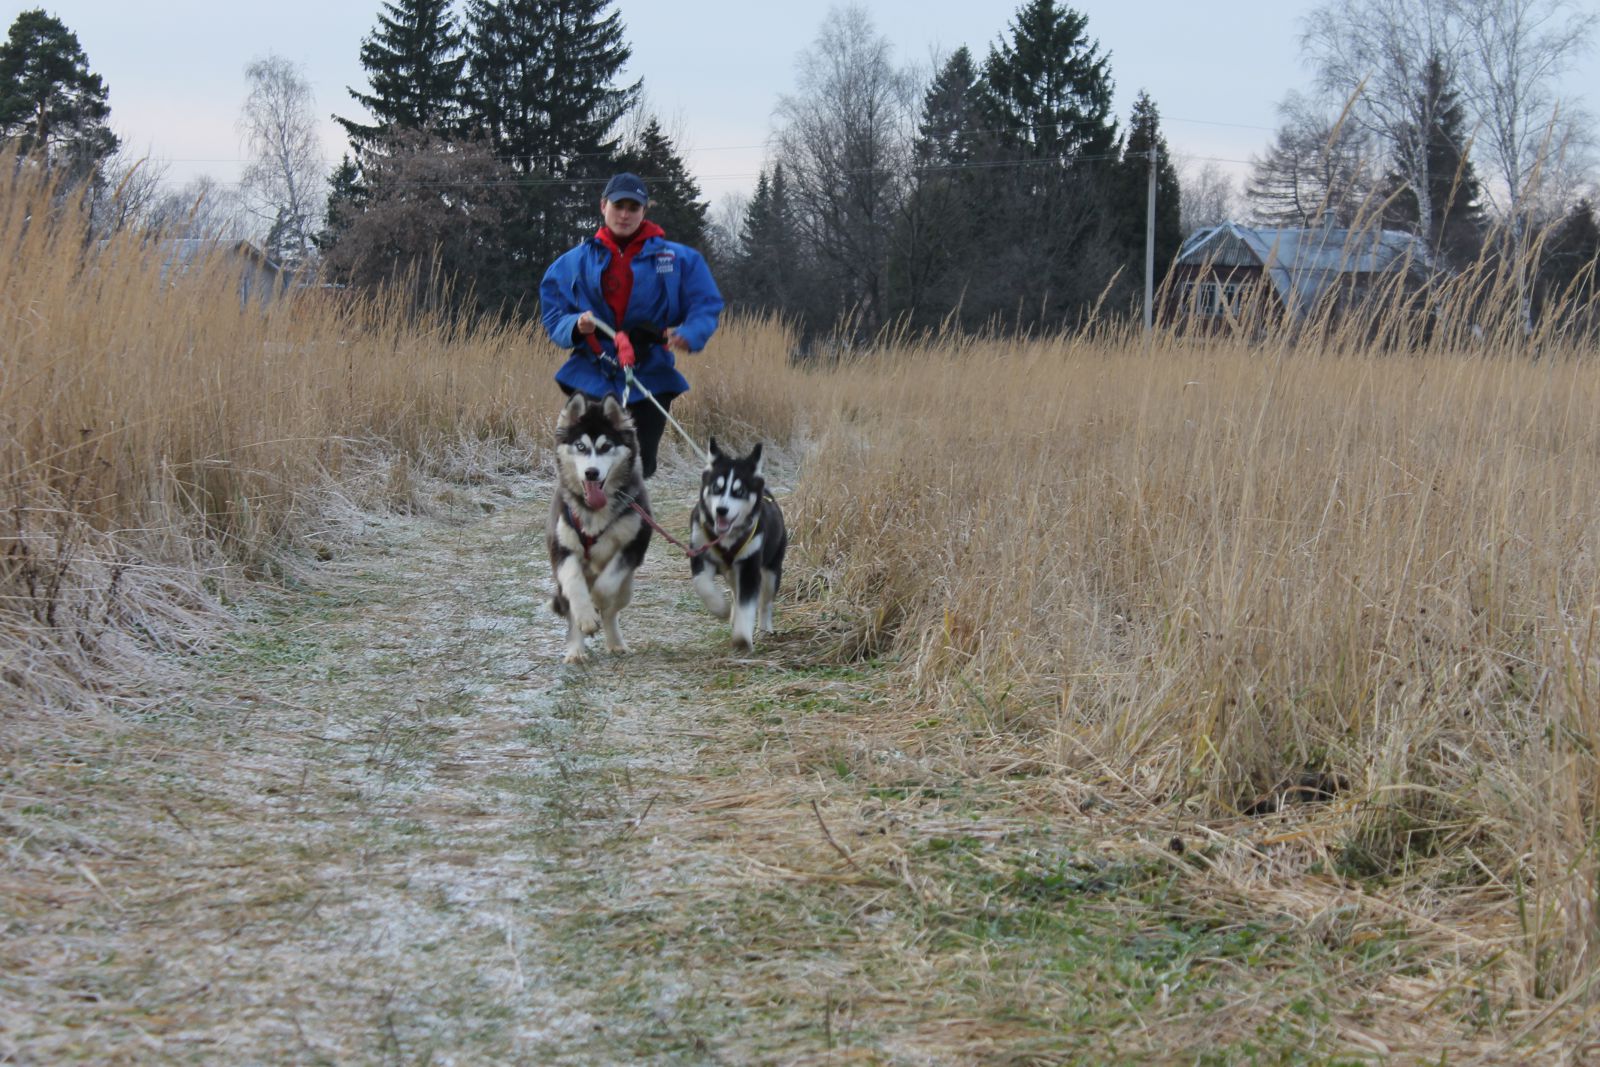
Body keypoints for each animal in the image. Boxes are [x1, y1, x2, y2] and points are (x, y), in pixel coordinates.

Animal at [547, 393, 652, 663]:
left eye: (606, 447)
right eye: (581, 447)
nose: (591, 473)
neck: (593, 512)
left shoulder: (635, 543)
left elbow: (607, 584)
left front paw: (596, 600)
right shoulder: (561, 547)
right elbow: (574, 582)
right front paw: (586, 616)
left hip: (627, 588)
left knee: (612, 610)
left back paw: (615, 642)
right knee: (571, 606)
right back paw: (576, 651)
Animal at [689, 438, 788, 651]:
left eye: (739, 491)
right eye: (716, 488)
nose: (721, 510)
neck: (726, 537)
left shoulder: (750, 567)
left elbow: (748, 604)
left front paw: (742, 638)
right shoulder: (700, 553)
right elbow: (702, 585)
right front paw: (721, 609)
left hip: (771, 569)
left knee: (765, 601)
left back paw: (765, 628)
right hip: (732, 572)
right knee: (735, 593)